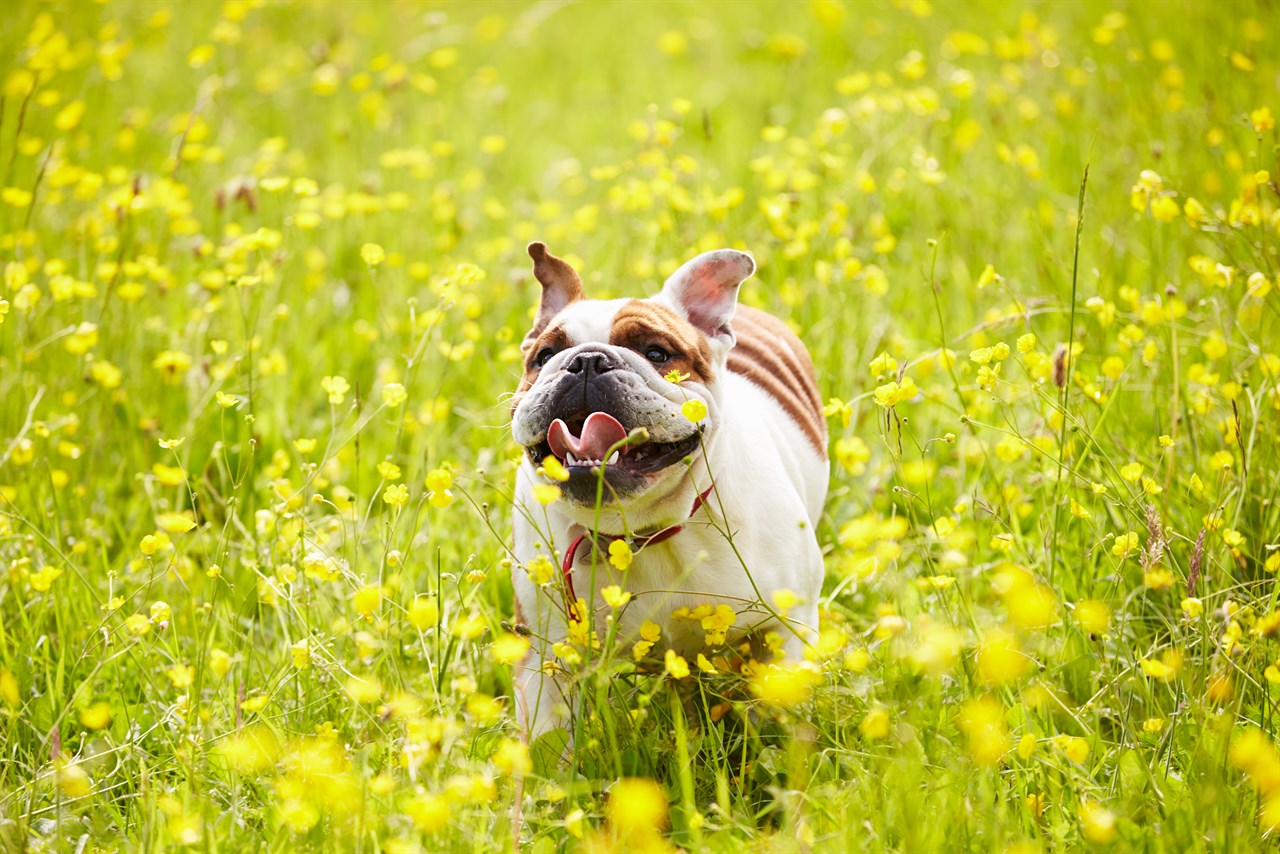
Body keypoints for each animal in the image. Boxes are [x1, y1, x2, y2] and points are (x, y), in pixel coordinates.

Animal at [509, 243, 829, 737]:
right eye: (544, 357)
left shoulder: (785, 628)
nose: (586, 361)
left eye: (657, 353)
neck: (643, 532)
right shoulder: (547, 657)